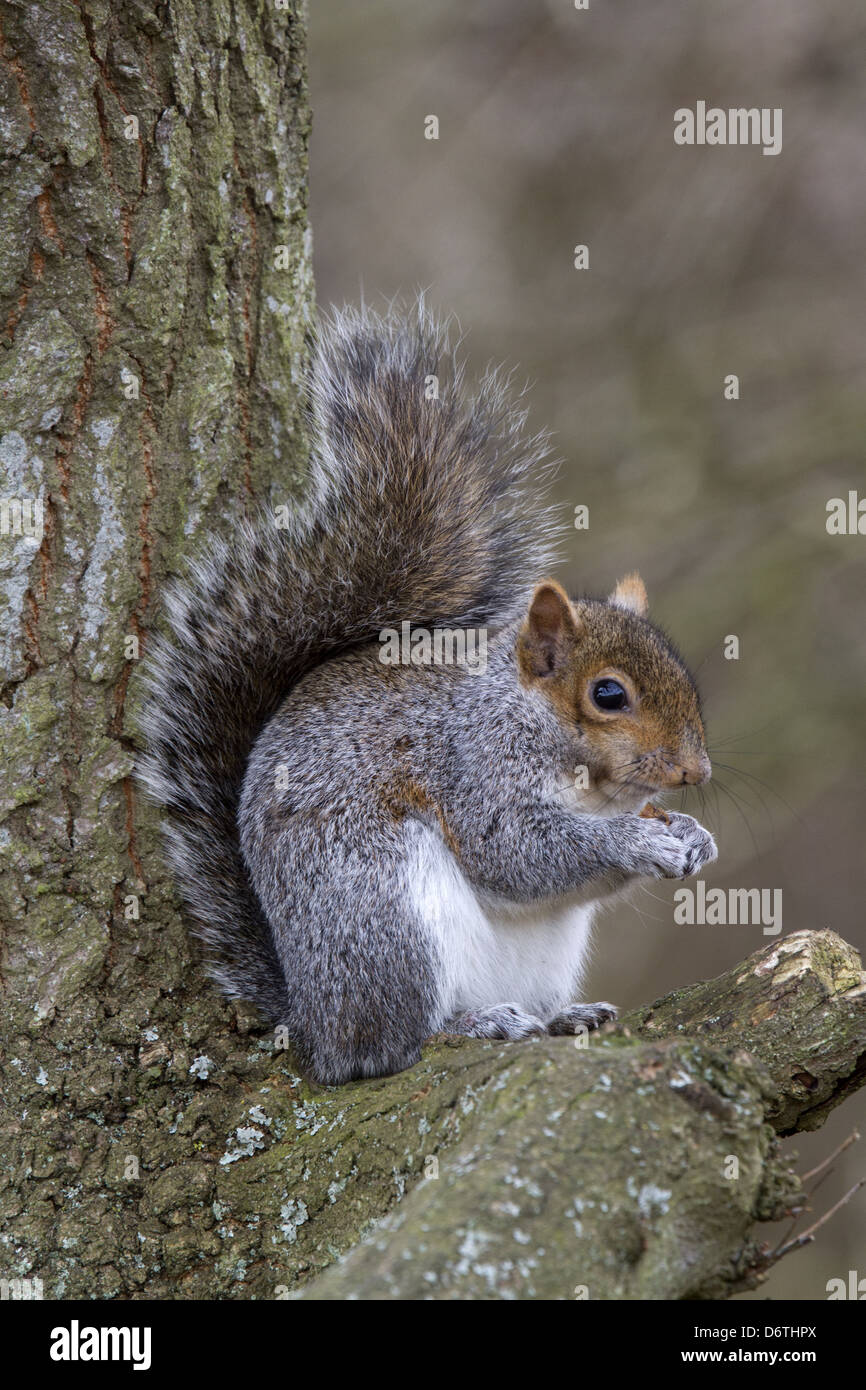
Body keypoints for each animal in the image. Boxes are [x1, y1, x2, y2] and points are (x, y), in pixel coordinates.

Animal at [139, 301, 717, 1084]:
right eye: (608, 695)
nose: (696, 772)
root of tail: (313, 1023)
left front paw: (690, 834)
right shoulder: (471, 764)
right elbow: (517, 852)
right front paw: (638, 840)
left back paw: (560, 1015)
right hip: (385, 916)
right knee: (395, 1046)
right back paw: (474, 1024)